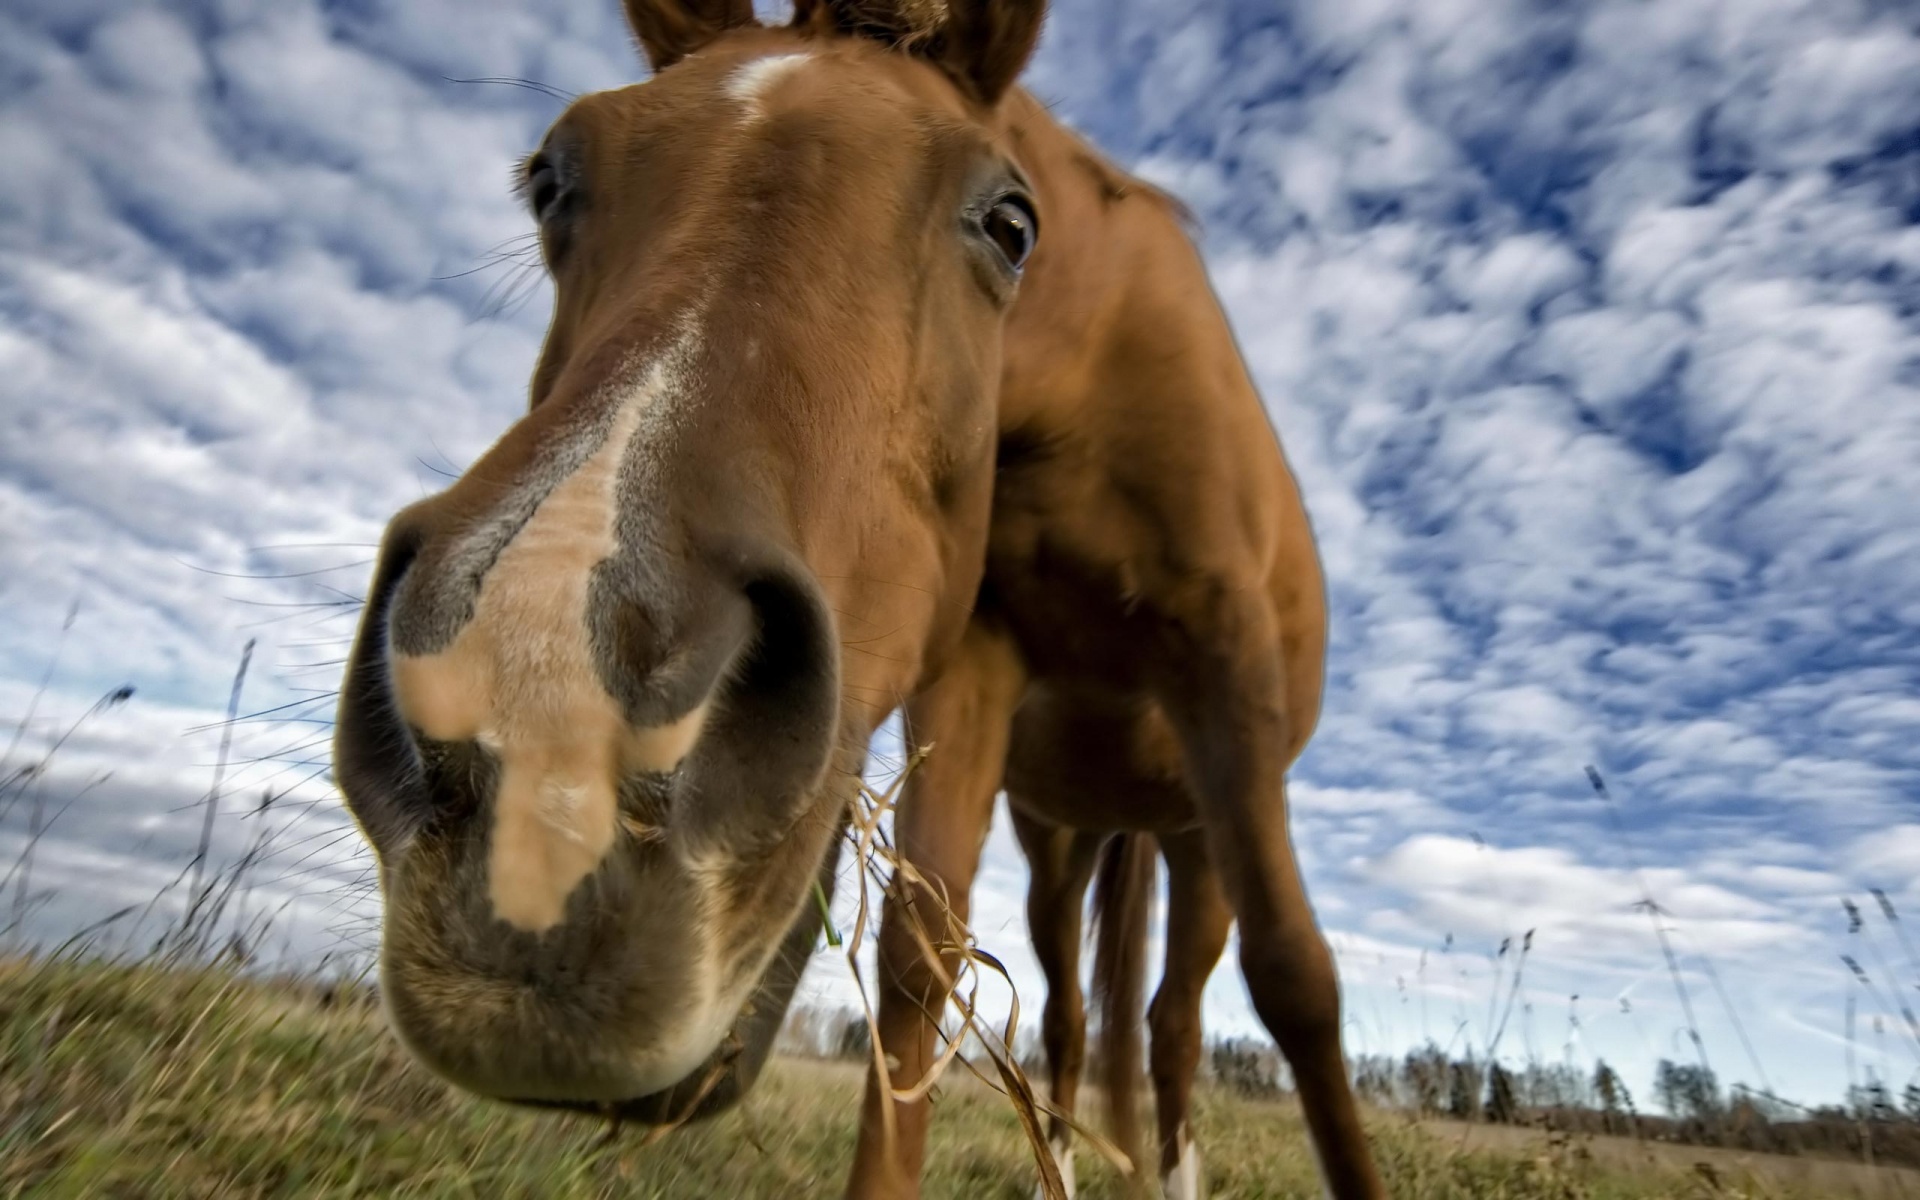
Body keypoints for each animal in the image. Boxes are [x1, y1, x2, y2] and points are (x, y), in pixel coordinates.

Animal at [330, 1, 1385, 1197]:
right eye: (551, 180)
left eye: (1012, 223)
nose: (546, 733)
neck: (1091, 376)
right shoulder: (973, 665)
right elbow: (921, 961)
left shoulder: (1226, 664)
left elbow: (1297, 982)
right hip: (1061, 839)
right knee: (1076, 1017)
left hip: (1199, 830)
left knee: (1174, 1023)